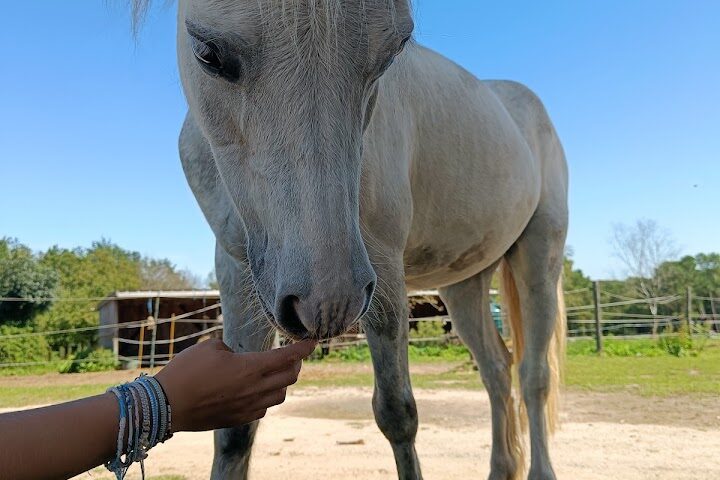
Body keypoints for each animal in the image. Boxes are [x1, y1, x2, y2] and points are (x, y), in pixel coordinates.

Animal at [133, 1, 568, 478]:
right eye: (208, 54)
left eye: (393, 51)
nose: (325, 306)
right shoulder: (236, 268)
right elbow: (234, 432)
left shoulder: (384, 269)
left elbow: (398, 415)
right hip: (464, 285)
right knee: (496, 370)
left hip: (538, 259)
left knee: (533, 376)